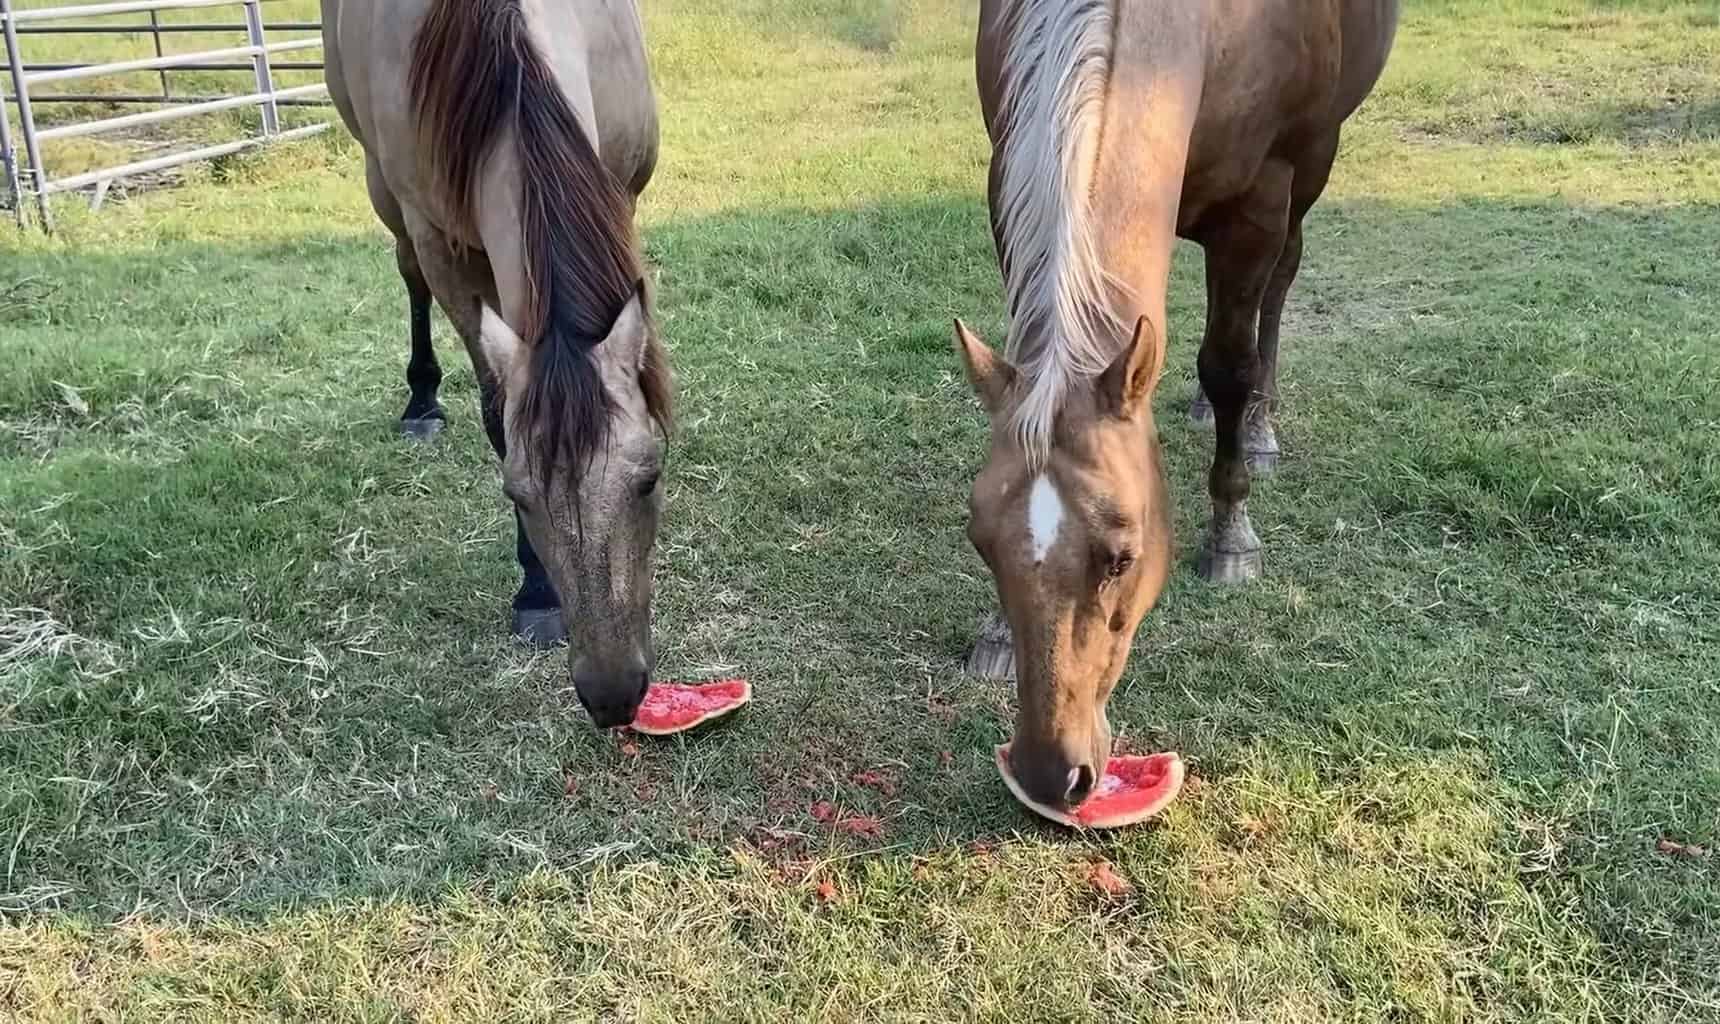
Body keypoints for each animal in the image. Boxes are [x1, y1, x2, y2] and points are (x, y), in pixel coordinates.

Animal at [323, 0, 670, 729]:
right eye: (517, 495)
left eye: (649, 479)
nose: (612, 695)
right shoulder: (439, 242)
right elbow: (494, 407)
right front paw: (535, 594)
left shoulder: (622, 191)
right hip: (384, 187)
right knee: (406, 271)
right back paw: (421, 400)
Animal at [956, 4, 1396, 812]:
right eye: (980, 541)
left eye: (1122, 557)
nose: (1047, 774)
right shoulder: (1008, 180)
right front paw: (999, 629)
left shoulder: (1261, 200)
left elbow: (1229, 364)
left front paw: (1232, 536)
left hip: (1312, 166)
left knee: (1279, 288)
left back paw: (1258, 426)